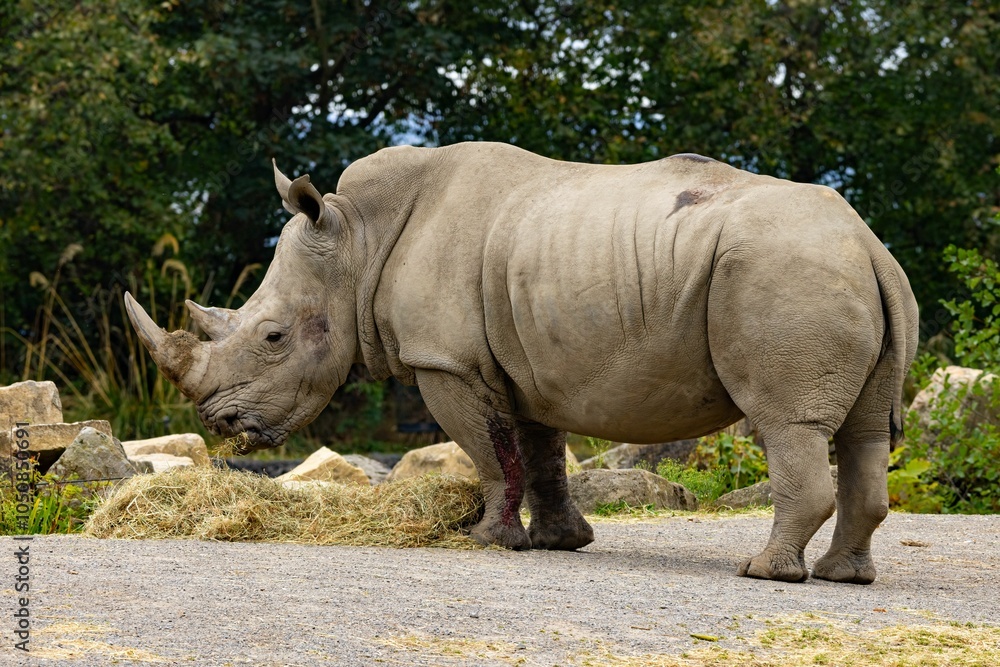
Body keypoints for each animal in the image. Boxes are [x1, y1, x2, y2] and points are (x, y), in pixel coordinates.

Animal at [126, 142, 919, 584]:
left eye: (273, 338)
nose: (219, 422)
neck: (357, 238)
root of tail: (869, 243)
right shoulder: (533, 363)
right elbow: (539, 453)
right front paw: (560, 543)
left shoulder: (446, 362)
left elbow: (488, 451)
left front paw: (484, 540)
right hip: (839, 272)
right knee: (866, 430)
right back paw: (844, 578)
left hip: (785, 273)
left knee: (788, 425)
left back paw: (763, 574)